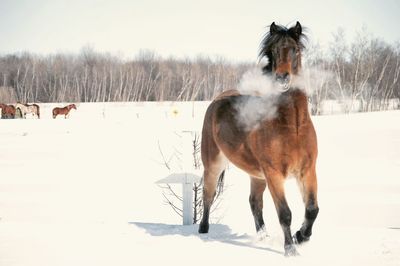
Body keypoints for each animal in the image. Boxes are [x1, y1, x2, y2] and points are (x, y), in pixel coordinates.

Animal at [199, 21, 318, 256]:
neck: (293, 128)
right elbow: (285, 213)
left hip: (256, 175)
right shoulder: (274, 174)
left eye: (295, 50)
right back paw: (203, 230)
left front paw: (302, 236)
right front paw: (290, 250)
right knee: (208, 195)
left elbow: (312, 209)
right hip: (214, 164)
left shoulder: (307, 170)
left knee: (255, 202)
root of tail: (218, 99)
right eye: (272, 51)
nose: (282, 77)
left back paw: (263, 237)